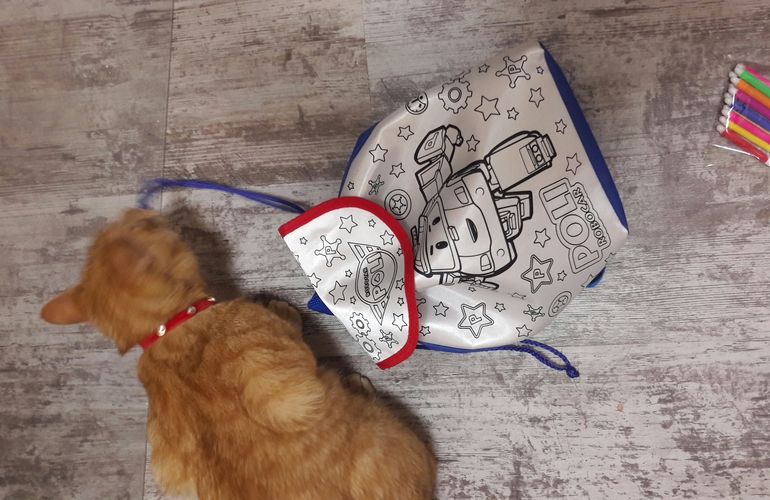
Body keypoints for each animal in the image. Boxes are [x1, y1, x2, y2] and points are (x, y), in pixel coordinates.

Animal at [41, 208, 436, 500]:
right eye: (143, 224)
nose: (138, 207)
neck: (171, 328)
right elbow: (293, 335)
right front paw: (285, 312)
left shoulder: (168, 462)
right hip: (388, 434)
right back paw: (358, 385)